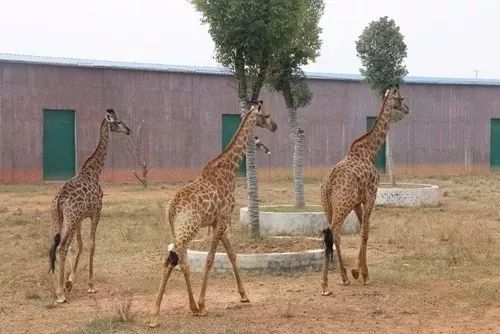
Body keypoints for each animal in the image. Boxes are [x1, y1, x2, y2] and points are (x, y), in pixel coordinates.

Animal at [48, 107, 131, 302]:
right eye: (118, 122)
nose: (128, 130)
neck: (94, 171)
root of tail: (60, 198)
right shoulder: (96, 212)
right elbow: (91, 244)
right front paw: (90, 285)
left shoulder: (80, 218)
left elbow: (78, 245)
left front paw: (70, 280)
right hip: (70, 218)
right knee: (61, 247)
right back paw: (60, 294)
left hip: (59, 217)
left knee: (57, 246)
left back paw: (58, 288)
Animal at [149, 100, 278, 328]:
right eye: (267, 115)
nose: (275, 126)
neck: (229, 169)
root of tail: (171, 209)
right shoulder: (223, 219)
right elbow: (210, 259)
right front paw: (203, 303)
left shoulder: (219, 221)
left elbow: (232, 254)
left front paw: (244, 295)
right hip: (188, 229)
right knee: (172, 261)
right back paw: (162, 313)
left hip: (178, 231)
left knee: (179, 261)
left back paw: (184, 308)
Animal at [320, 87, 410, 294]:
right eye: (401, 98)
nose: (408, 109)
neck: (370, 151)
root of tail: (328, 185)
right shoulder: (371, 196)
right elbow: (366, 232)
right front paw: (363, 274)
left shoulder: (357, 202)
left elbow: (363, 228)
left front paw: (357, 272)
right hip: (341, 206)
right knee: (334, 232)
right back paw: (327, 284)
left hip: (328, 206)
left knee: (331, 235)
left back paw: (341, 278)